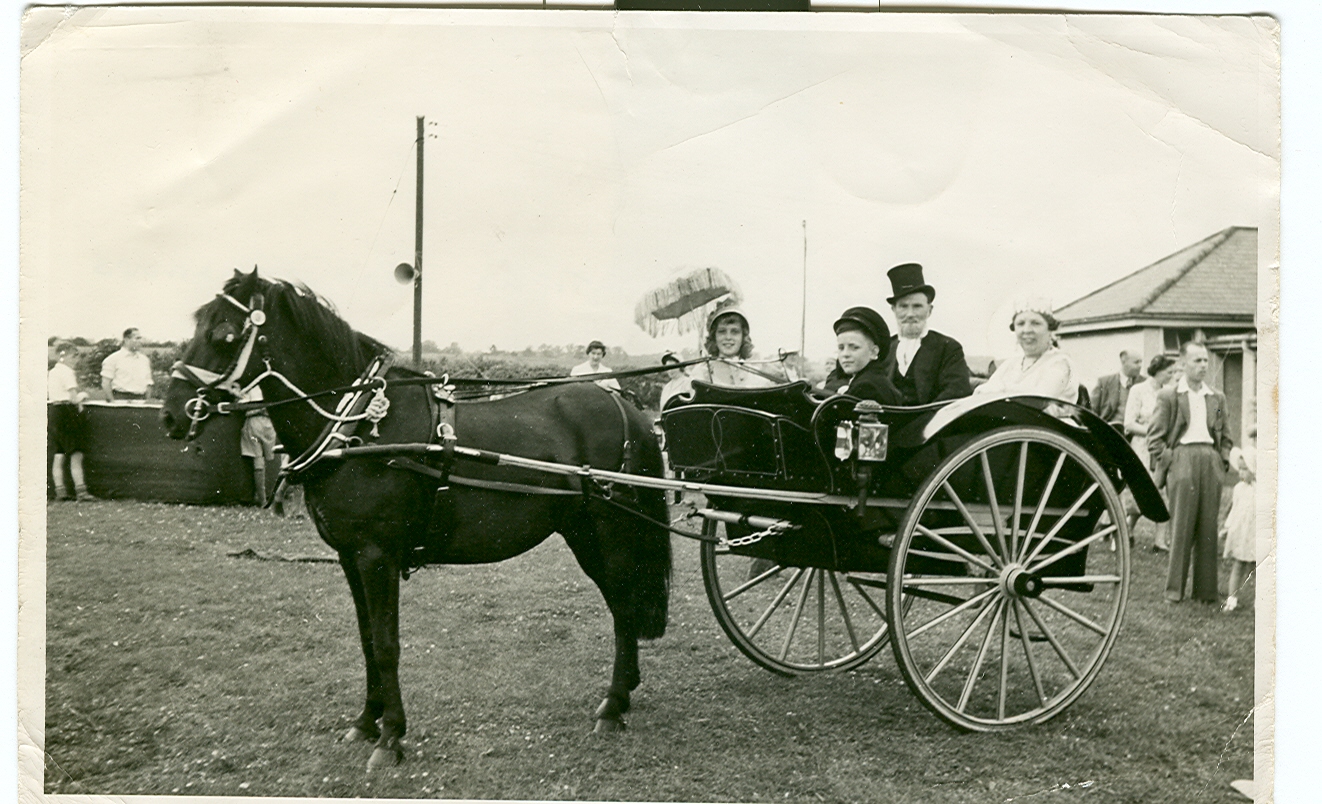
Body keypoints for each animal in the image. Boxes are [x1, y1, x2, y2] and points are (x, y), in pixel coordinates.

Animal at [160, 269, 671, 771]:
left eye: (224, 334)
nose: (170, 415)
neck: (357, 427)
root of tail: (627, 407)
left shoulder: (377, 557)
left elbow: (387, 644)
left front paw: (390, 737)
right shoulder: (350, 558)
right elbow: (368, 640)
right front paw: (366, 723)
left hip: (610, 531)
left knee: (625, 605)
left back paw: (612, 706)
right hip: (584, 533)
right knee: (621, 605)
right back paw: (623, 695)